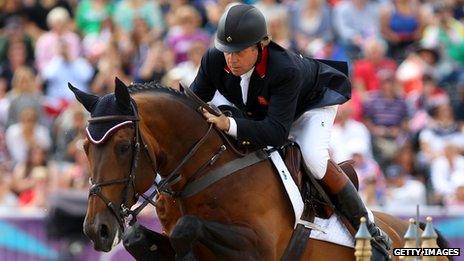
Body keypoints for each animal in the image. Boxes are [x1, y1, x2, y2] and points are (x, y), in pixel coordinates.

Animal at [70, 78, 450, 258]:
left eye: (123, 147)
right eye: (85, 148)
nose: (96, 230)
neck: (202, 171)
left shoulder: (259, 248)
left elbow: (188, 227)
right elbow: (138, 236)